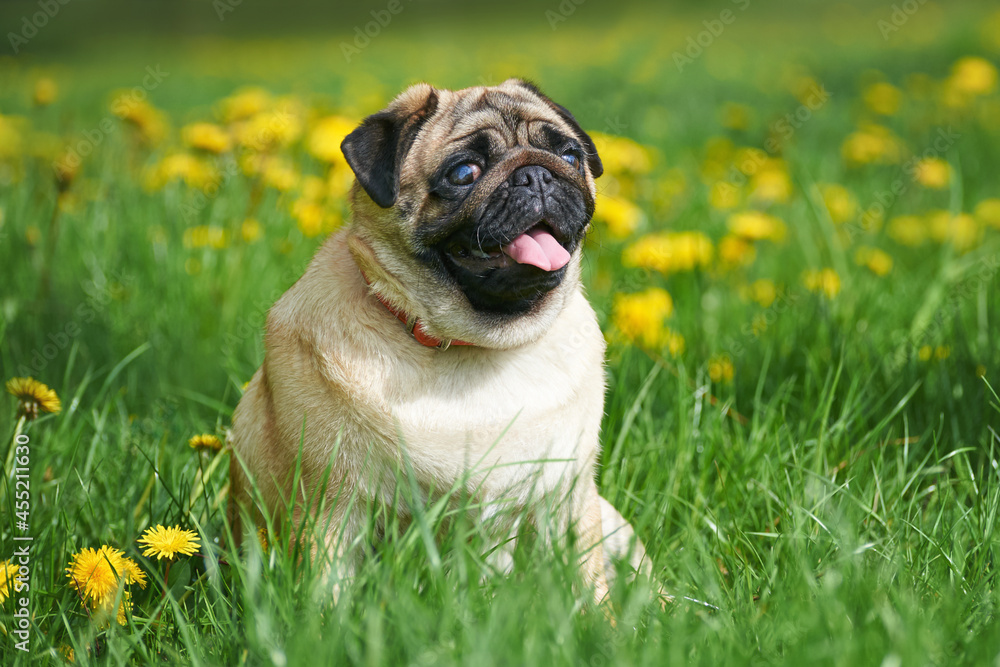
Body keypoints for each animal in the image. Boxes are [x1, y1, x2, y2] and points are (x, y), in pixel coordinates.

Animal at [227, 78, 648, 604]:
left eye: (570, 156)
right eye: (464, 173)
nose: (536, 174)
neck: (476, 347)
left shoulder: (566, 501)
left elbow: (585, 585)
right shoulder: (333, 509)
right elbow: (328, 592)